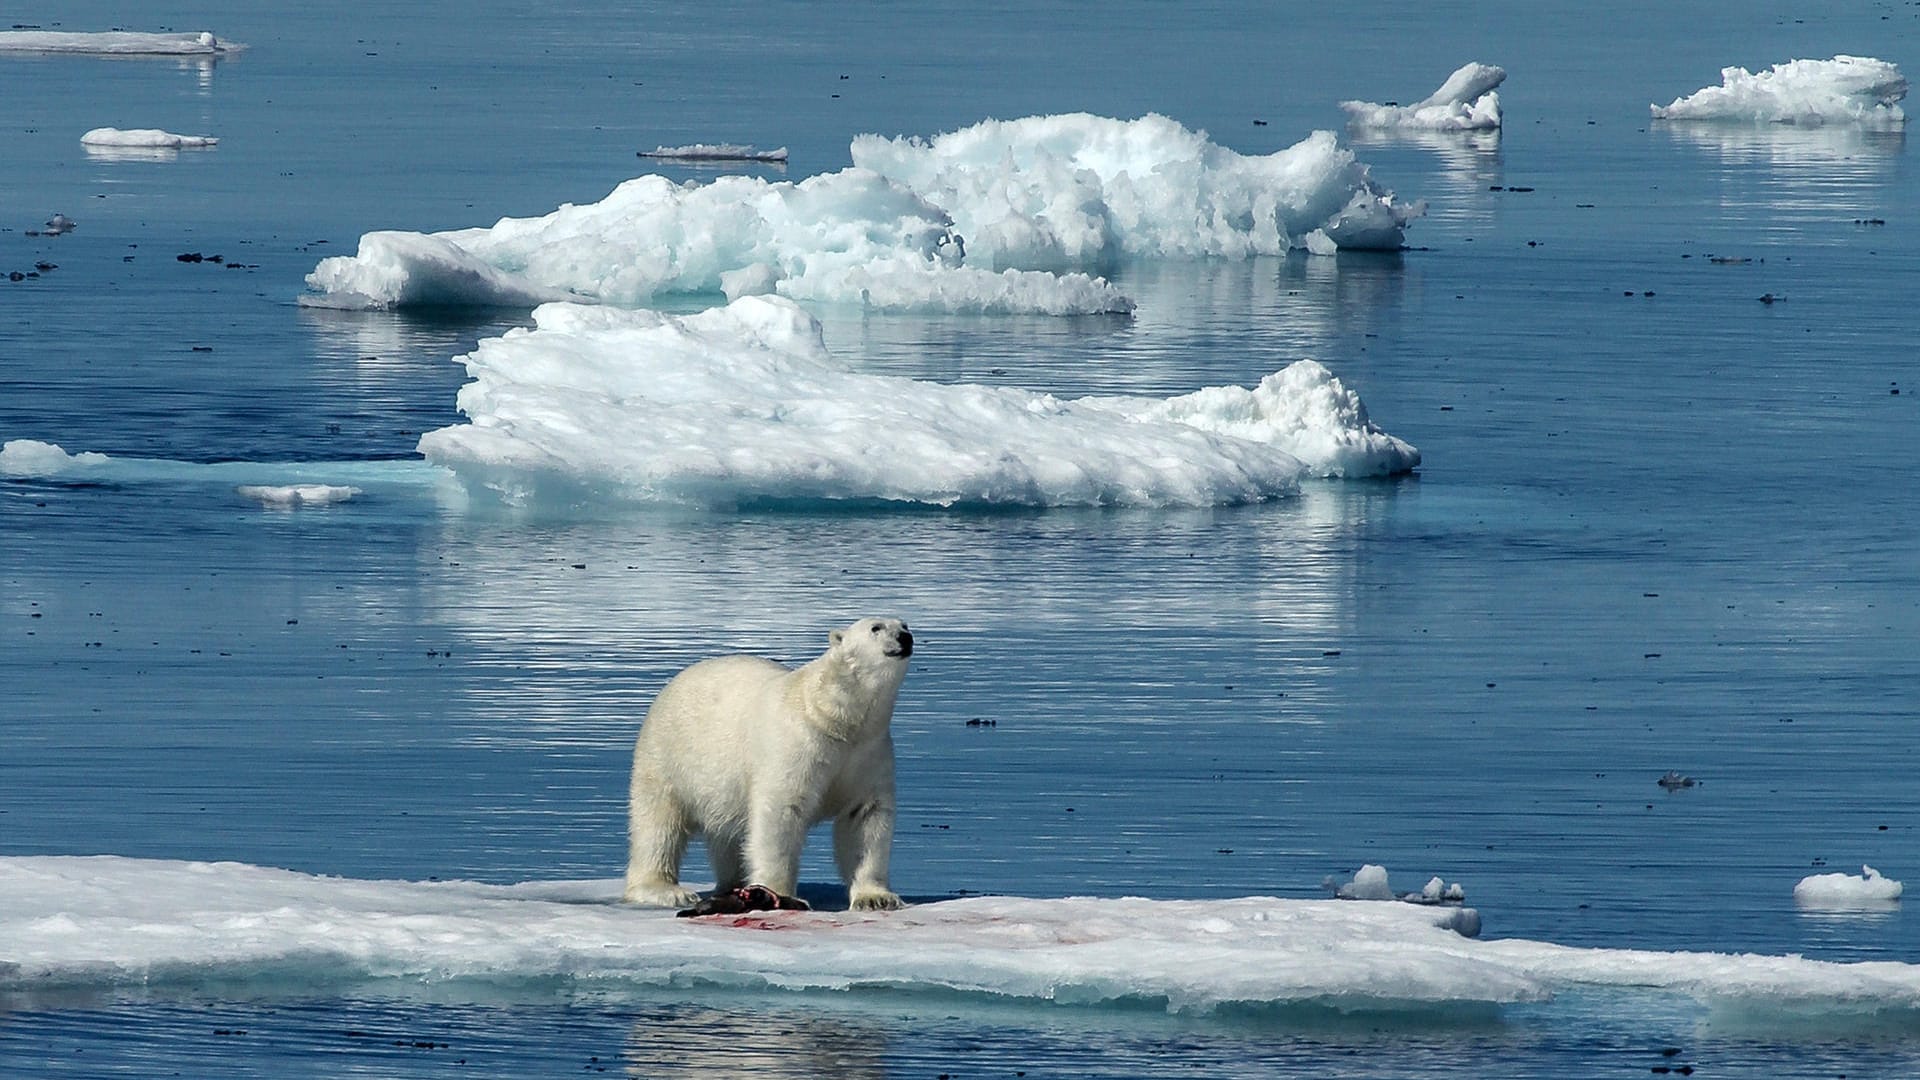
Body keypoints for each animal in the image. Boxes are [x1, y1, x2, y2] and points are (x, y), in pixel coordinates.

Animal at [618, 614, 910, 907]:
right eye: (876, 628)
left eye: (904, 624)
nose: (905, 638)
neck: (834, 718)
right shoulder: (796, 745)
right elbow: (780, 813)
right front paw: (779, 894)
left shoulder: (867, 751)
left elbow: (865, 817)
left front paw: (876, 898)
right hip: (666, 758)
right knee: (658, 825)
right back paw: (667, 890)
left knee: (727, 834)